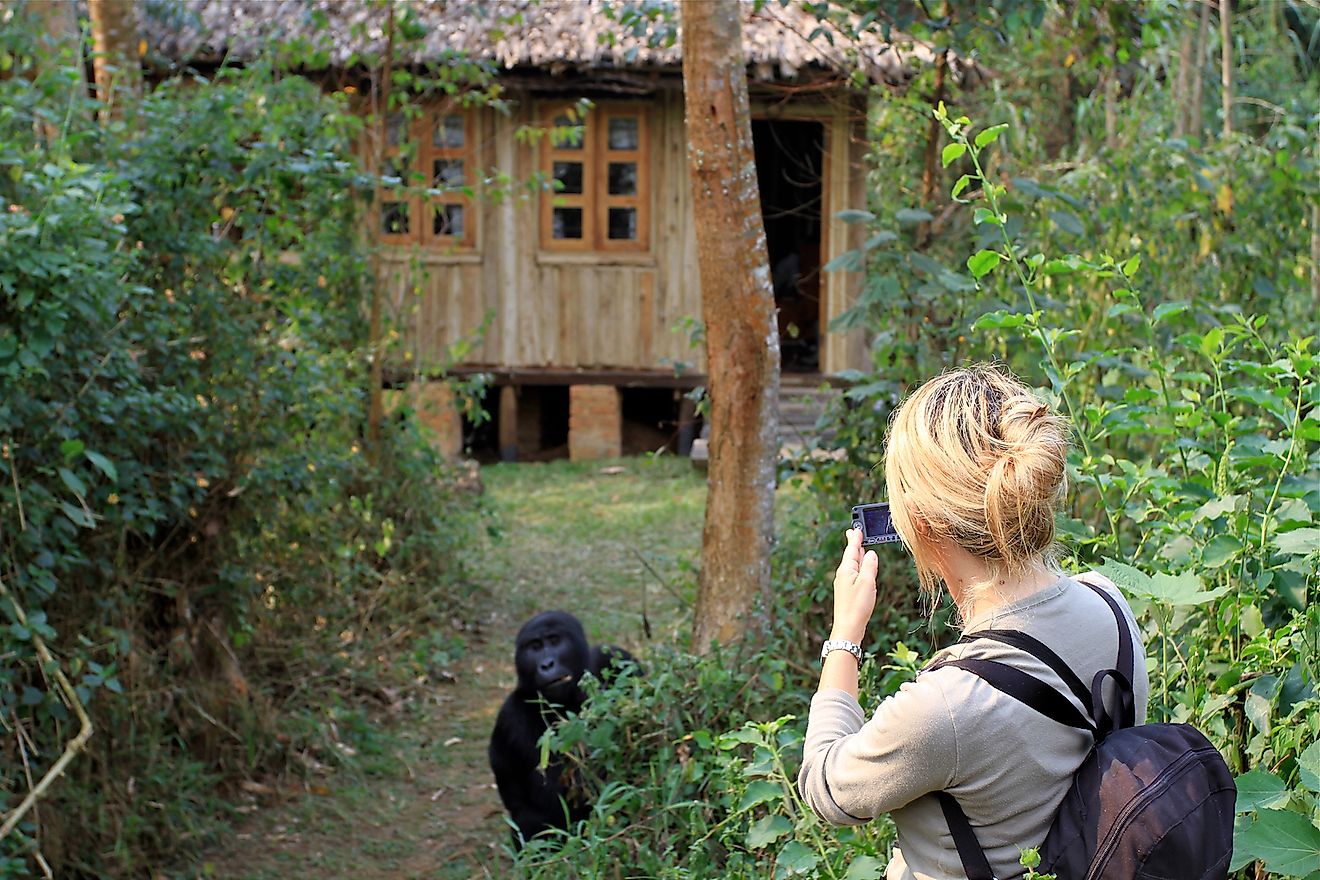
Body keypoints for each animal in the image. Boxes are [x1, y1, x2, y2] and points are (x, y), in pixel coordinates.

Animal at [493, 612, 641, 844]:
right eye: (535, 647)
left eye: (555, 641)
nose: (546, 664)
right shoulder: (512, 716)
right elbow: (556, 796)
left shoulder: (616, 655)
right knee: (528, 820)